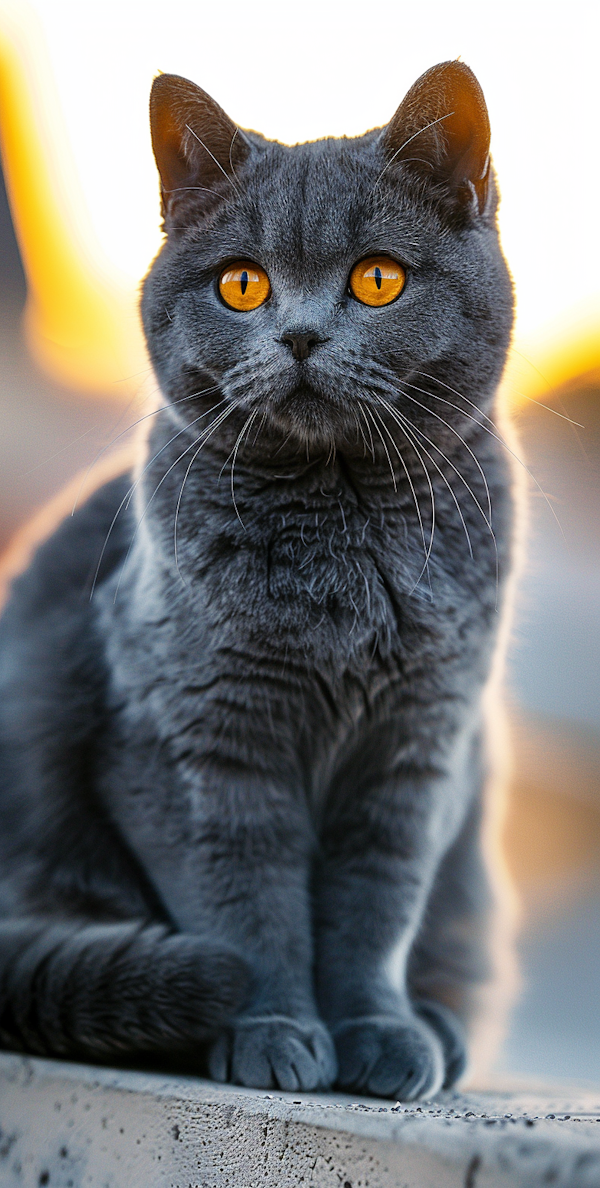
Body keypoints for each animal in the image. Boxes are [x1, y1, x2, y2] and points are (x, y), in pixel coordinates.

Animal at [0, 60, 515, 1097]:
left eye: (378, 278)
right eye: (242, 284)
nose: (302, 337)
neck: (344, 535)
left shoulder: (419, 753)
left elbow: (376, 912)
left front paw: (378, 1033)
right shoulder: (196, 747)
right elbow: (247, 905)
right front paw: (274, 1030)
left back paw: (437, 1030)